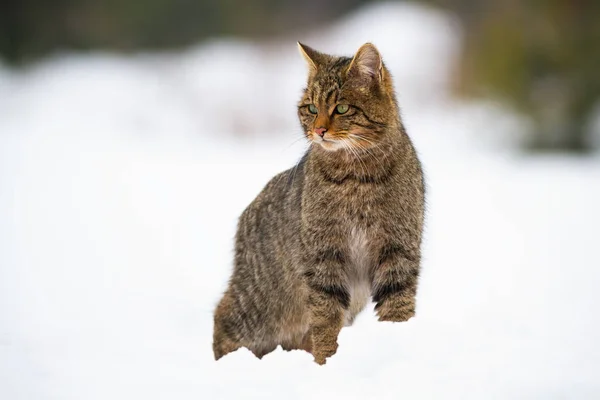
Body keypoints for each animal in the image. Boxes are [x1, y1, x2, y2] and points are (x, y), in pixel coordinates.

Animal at [213, 42, 424, 364]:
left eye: (342, 108)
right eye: (311, 108)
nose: (319, 130)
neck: (356, 176)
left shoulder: (398, 250)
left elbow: (397, 307)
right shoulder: (324, 255)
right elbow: (325, 318)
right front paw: (327, 362)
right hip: (261, 305)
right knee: (222, 314)